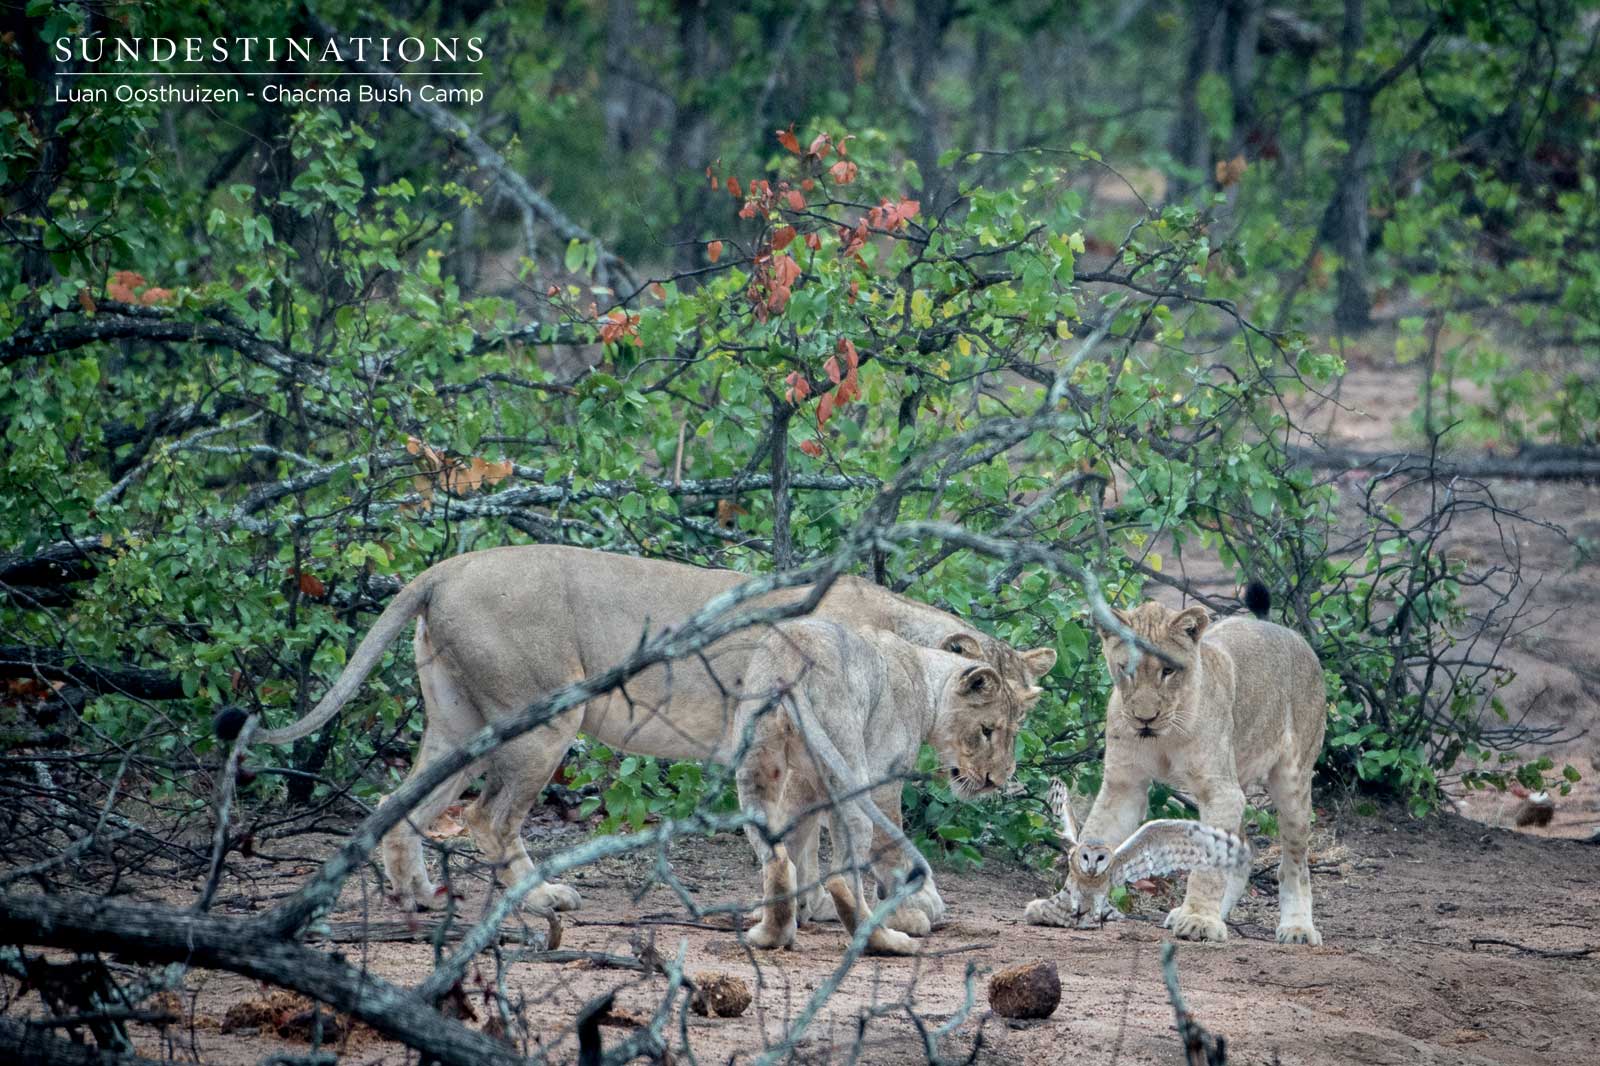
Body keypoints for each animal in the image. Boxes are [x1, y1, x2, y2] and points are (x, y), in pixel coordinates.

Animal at [249, 545, 1055, 917]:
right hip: (542, 719)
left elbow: (806, 837)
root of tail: (448, 566)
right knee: (487, 817)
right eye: (989, 728)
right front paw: (901, 903)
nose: (997, 781)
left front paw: (817, 903)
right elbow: (855, 830)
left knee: (402, 806)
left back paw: (416, 894)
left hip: (457, 723)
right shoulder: (832, 747)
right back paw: (540, 899)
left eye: (1019, 725)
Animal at [735, 618, 1039, 955]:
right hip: (850, 764)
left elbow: (797, 836)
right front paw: (906, 916)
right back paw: (884, 939)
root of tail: (788, 666)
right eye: (987, 730)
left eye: (1013, 732)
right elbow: (891, 848)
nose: (995, 780)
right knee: (843, 875)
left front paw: (798, 910)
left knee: (776, 856)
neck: (924, 678)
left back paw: (771, 934)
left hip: (757, 766)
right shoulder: (884, 779)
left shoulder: (803, 782)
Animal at [1024, 587, 1326, 945]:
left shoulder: (1219, 790)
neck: (1163, 737)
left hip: (1291, 781)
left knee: (1294, 861)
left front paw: (1199, 919)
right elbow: (1096, 833)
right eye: (1126, 668)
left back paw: (1297, 926)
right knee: (1244, 850)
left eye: (1168, 671)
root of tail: (1285, 630)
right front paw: (1064, 903)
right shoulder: (1124, 785)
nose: (1145, 718)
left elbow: (1209, 862)